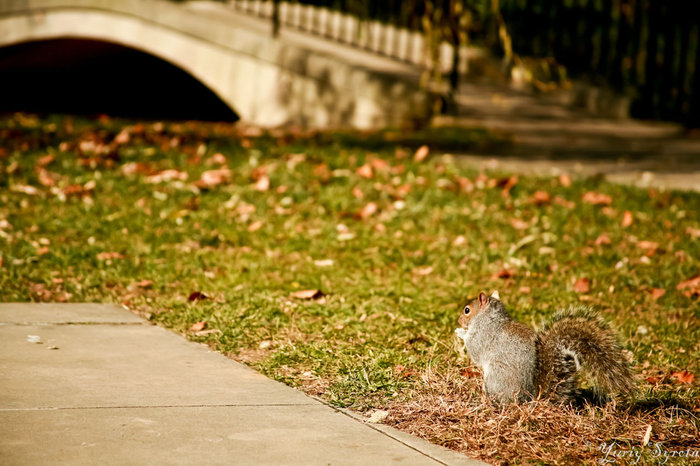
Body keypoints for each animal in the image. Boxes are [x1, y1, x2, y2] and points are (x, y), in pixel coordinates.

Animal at [454, 290, 636, 402]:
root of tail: (532, 397)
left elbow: (474, 349)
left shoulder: (483, 336)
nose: (458, 320)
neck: (491, 319)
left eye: (467, 310)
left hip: (495, 377)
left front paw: (460, 332)